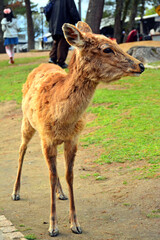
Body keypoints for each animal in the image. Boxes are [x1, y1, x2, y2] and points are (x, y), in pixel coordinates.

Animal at [11, 21, 145, 237]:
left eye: (115, 42)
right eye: (107, 49)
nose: (140, 65)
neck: (62, 118)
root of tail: (39, 66)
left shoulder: (73, 138)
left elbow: (68, 175)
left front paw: (75, 224)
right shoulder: (47, 137)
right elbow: (51, 175)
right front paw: (53, 227)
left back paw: (61, 193)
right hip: (27, 121)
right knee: (22, 150)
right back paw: (15, 192)